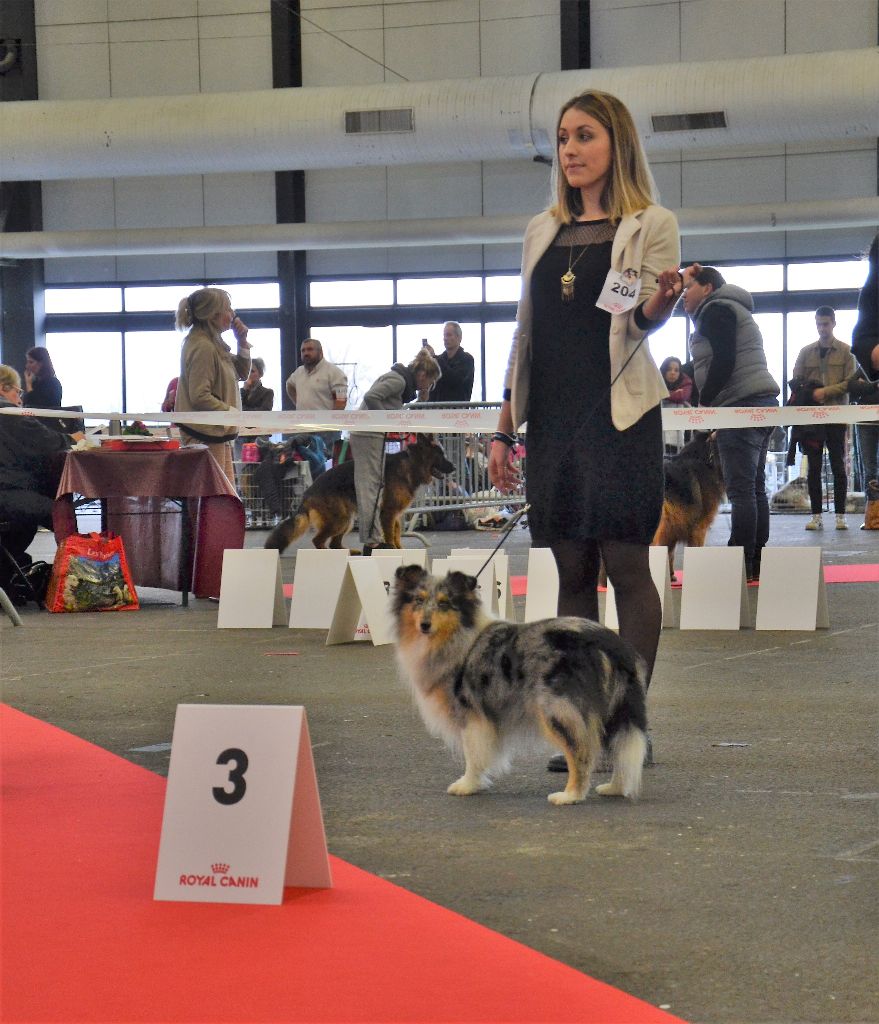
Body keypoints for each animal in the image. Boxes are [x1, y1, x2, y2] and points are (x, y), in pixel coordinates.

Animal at [262, 432, 452, 552]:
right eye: (441, 455)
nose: (454, 468)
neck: (411, 464)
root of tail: (308, 492)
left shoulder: (395, 514)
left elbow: (397, 534)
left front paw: (399, 549)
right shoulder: (388, 513)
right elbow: (390, 535)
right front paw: (392, 549)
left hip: (347, 520)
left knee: (335, 544)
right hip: (340, 520)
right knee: (319, 540)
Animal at [391, 565, 643, 802]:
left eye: (444, 603)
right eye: (418, 600)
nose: (424, 625)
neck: (459, 636)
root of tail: (606, 641)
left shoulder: (471, 713)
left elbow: (473, 754)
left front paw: (468, 784)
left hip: (559, 707)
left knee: (582, 752)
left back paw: (570, 795)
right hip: (613, 709)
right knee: (620, 749)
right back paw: (615, 788)